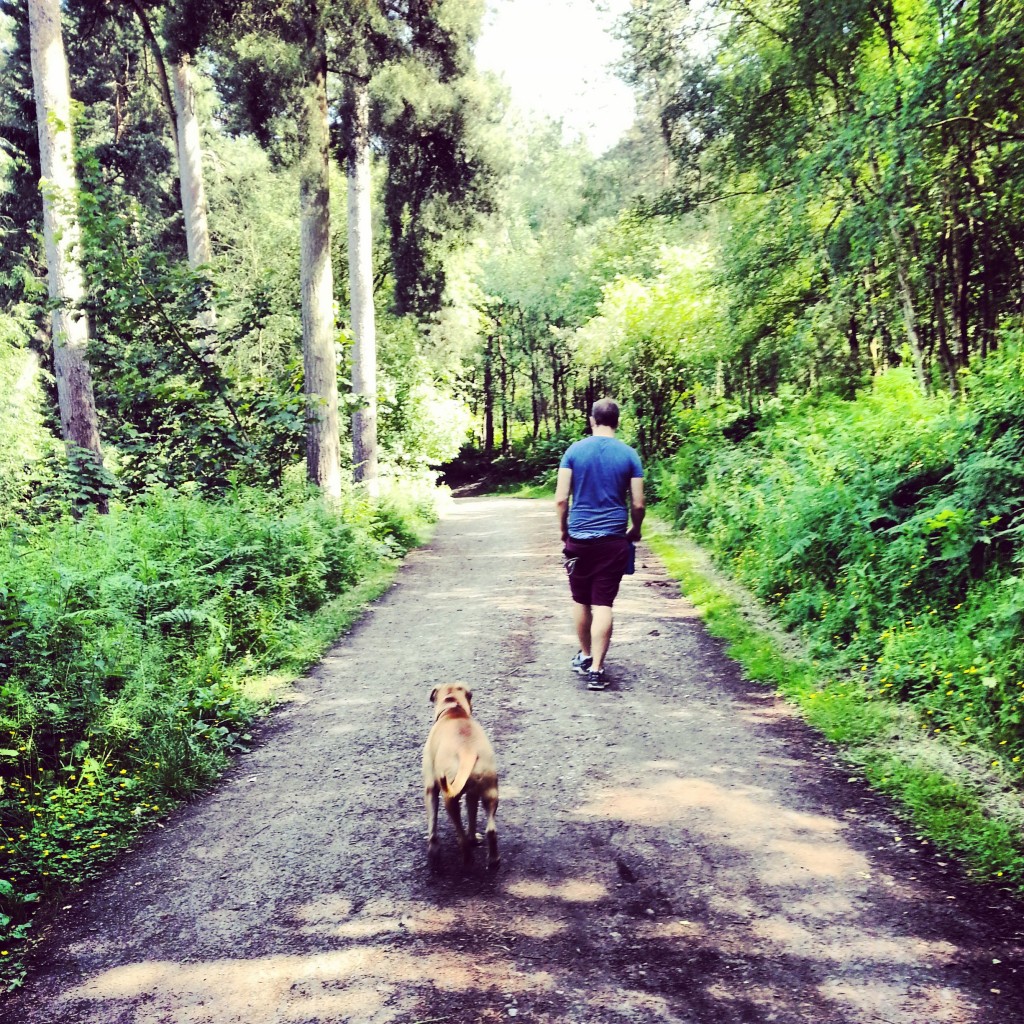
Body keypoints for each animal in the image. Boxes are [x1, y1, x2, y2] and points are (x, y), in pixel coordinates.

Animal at [419, 684, 499, 868]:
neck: (453, 710)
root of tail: (466, 750)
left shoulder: (430, 788)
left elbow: (432, 825)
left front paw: (433, 851)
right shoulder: (472, 794)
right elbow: (472, 815)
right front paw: (473, 838)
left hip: (450, 800)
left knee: (461, 836)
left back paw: (467, 860)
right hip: (490, 791)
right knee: (491, 830)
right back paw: (493, 859)